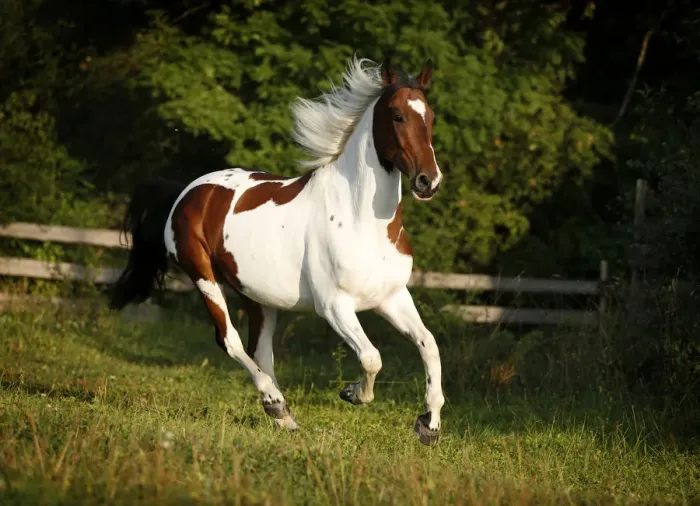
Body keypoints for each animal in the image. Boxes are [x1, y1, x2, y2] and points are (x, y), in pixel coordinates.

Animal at [109, 55, 446, 446]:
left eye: (430, 116)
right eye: (397, 115)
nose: (428, 181)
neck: (361, 220)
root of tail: (189, 191)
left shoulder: (391, 297)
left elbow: (428, 345)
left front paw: (428, 425)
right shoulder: (334, 305)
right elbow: (372, 357)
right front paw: (351, 393)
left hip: (255, 293)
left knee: (260, 349)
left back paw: (283, 415)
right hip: (203, 276)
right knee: (230, 341)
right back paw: (275, 403)